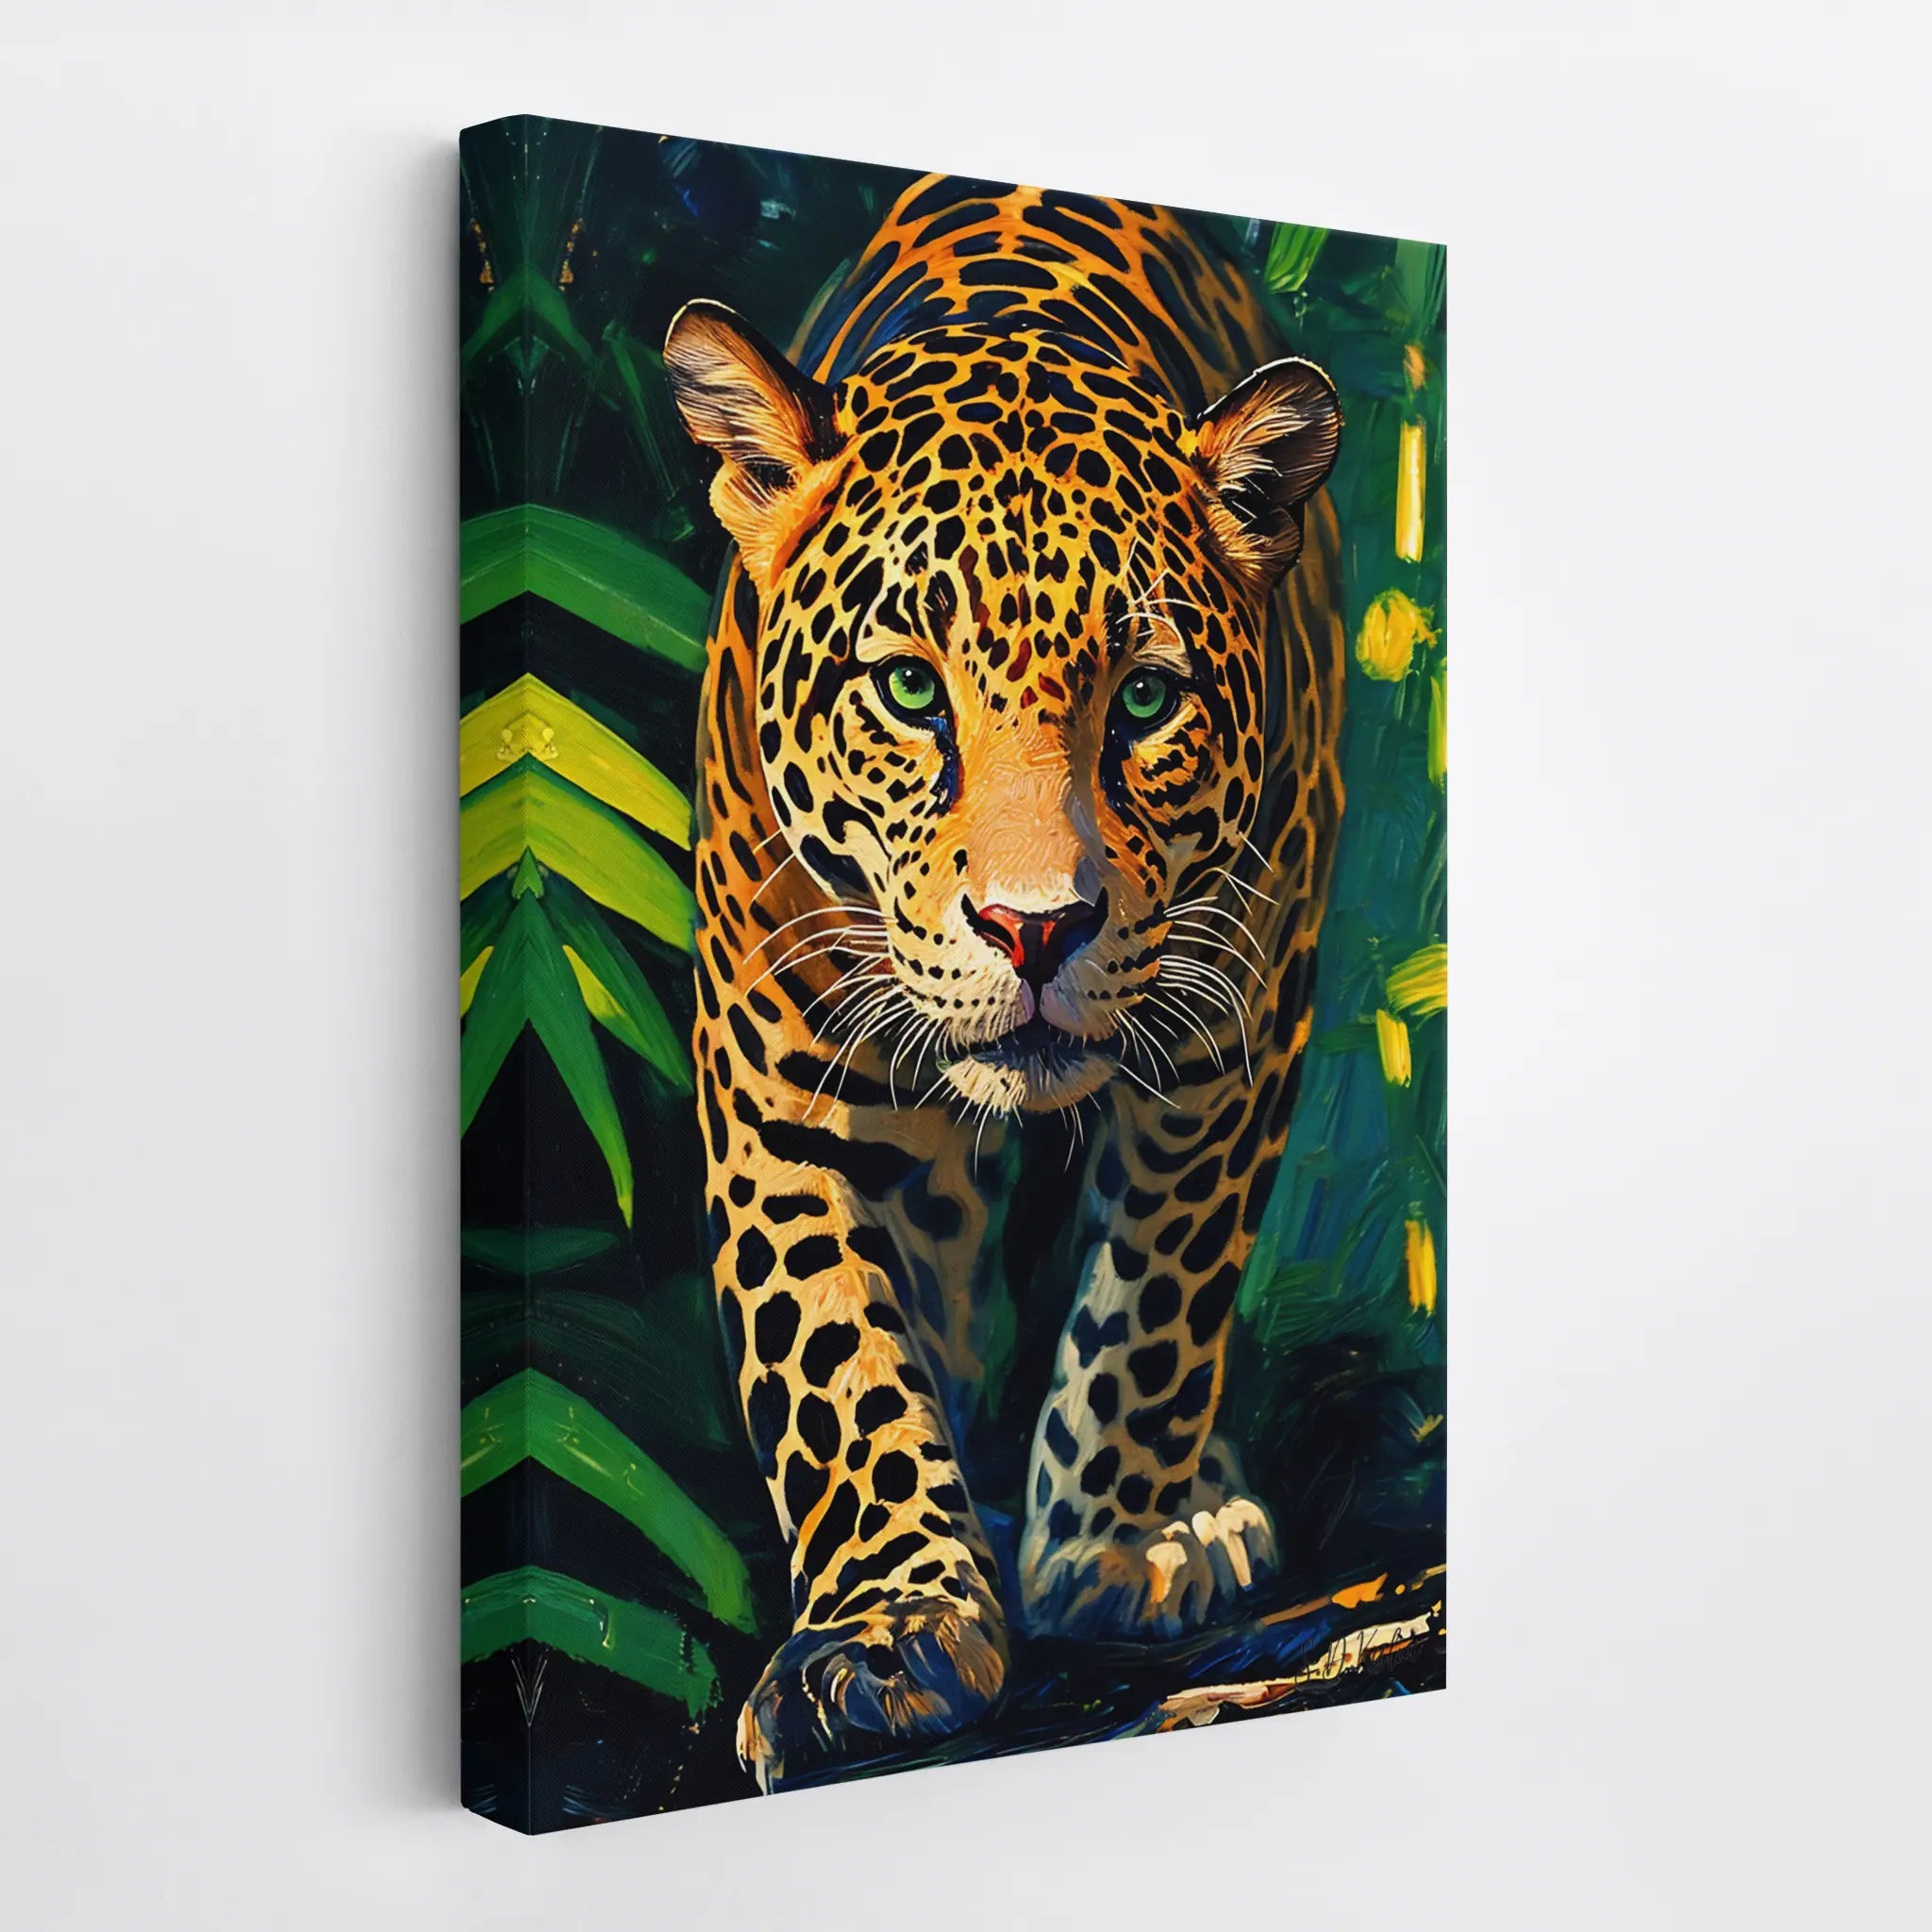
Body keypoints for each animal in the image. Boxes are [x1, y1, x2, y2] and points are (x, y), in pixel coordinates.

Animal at [662, 173, 1345, 1792]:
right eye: (911, 689)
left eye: (1146, 699)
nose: (1035, 930)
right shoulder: (774, 1068)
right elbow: (832, 1348)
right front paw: (888, 1630)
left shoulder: (1239, 1020)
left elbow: (1159, 1287)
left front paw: (1113, 1544)